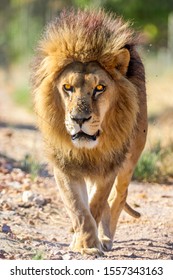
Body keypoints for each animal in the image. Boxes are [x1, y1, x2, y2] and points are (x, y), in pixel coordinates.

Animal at [31, 9, 147, 256]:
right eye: (67, 88)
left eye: (99, 88)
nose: (79, 119)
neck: (88, 149)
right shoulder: (64, 164)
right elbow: (78, 207)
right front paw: (84, 244)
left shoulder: (110, 164)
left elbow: (96, 203)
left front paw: (92, 243)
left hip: (131, 156)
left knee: (118, 196)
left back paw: (105, 237)